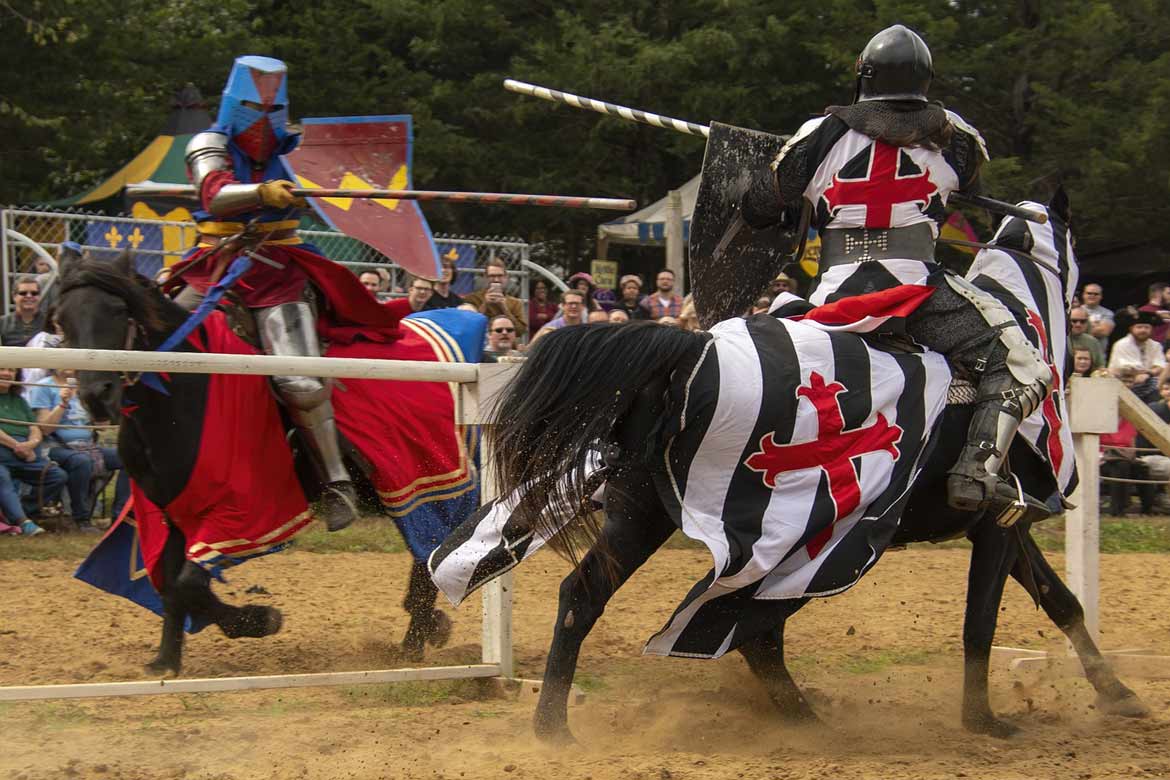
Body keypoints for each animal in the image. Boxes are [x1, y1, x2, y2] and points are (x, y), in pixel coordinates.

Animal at [57, 254, 453, 678]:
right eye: (61, 319)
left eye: (118, 311)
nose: (96, 395)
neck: (185, 394)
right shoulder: (172, 510)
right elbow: (171, 585)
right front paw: (165, 662)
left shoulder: (239, 513)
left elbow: (188, 585)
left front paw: (260, 619)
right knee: (426, 554)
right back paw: (426, 627)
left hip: (430, 486)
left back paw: (413, 642)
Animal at [479, 315, 1146, 739]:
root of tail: (687, 354)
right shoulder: (998, 529)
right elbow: (981, 621)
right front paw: (983, 722)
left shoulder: (1012, 526)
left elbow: (1062, 602)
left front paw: (1117, 693)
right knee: (749, 630)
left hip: (642, 516)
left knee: (589, 597)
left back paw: (553, 727)